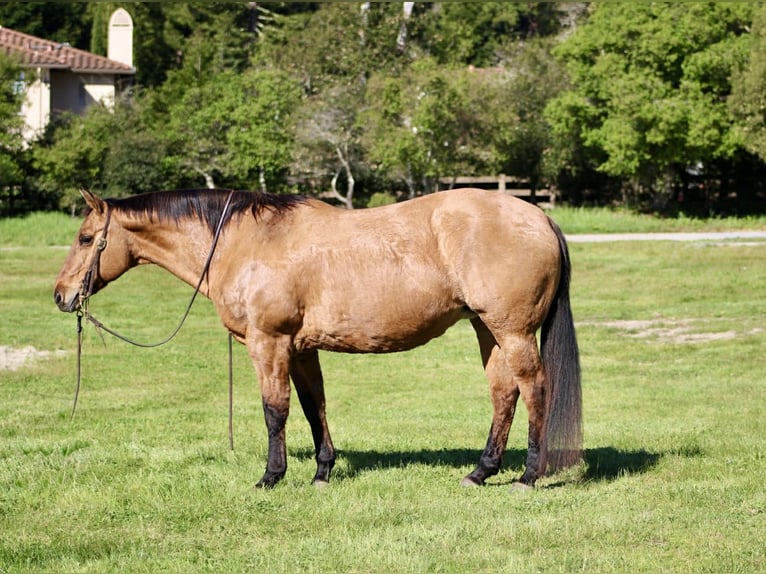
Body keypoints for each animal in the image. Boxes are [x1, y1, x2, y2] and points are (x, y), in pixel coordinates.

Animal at [54, 187, 582, 489]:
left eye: (85, 238)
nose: (61, 295)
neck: (247, 240)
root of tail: (539, 217)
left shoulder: (268, 344)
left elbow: (275, 411)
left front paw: (271, 477)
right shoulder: (301, 349)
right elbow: (314, 408)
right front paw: (322, 472)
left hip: (512, 331)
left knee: (535, 390)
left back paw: (529, 476)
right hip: (486, 329)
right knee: (503, 393)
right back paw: (480, 472)